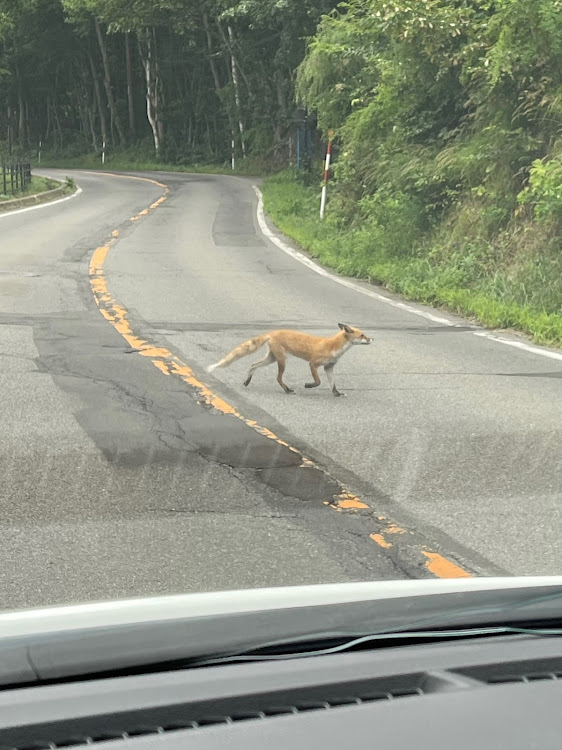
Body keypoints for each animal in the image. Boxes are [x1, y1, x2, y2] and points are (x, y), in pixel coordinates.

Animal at [208, 324, 370, 396]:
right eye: (362, 335)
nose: (371, 339)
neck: (333, 347)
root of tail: (273, 332)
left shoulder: (328, 367)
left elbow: (332, 384)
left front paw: (337, 394)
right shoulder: (313, 363)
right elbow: (318, 382)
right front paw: (308, 385)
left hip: (272, 359)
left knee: (253, 365)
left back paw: (247, 381)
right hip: (282, 361)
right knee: (278, 378)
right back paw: (287, 390)